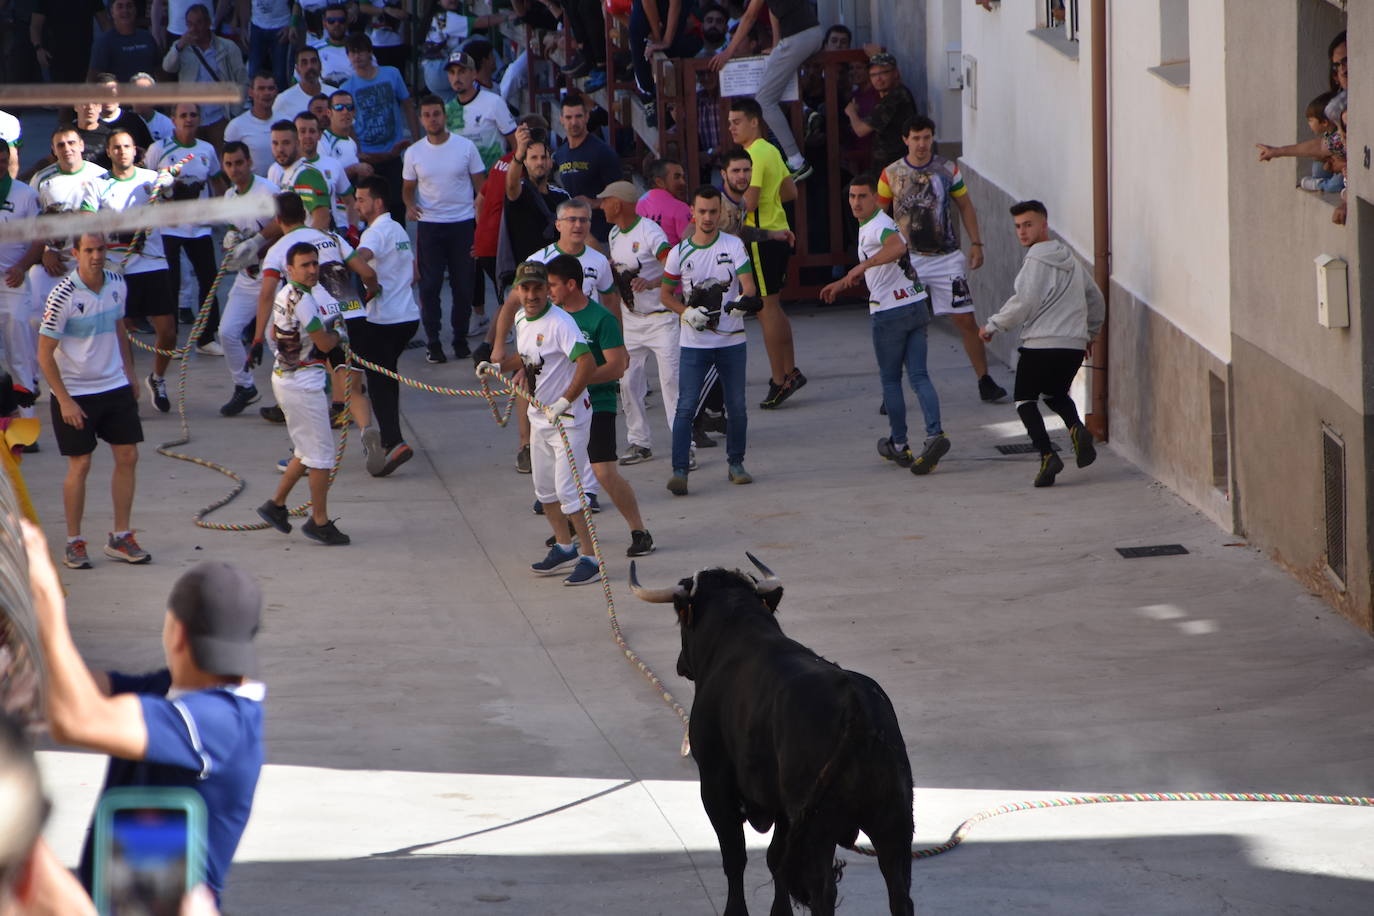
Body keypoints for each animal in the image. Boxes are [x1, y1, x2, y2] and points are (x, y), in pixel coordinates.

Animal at [629, 554, 912, 911]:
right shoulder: (782, 809)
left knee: (822, 890)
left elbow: (735, 857)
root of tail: (856, 705)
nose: (681, 664)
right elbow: (775, 859)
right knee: (899, 892)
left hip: (821, 828)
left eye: (681, 620)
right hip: (894, 819)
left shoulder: (714, 784)